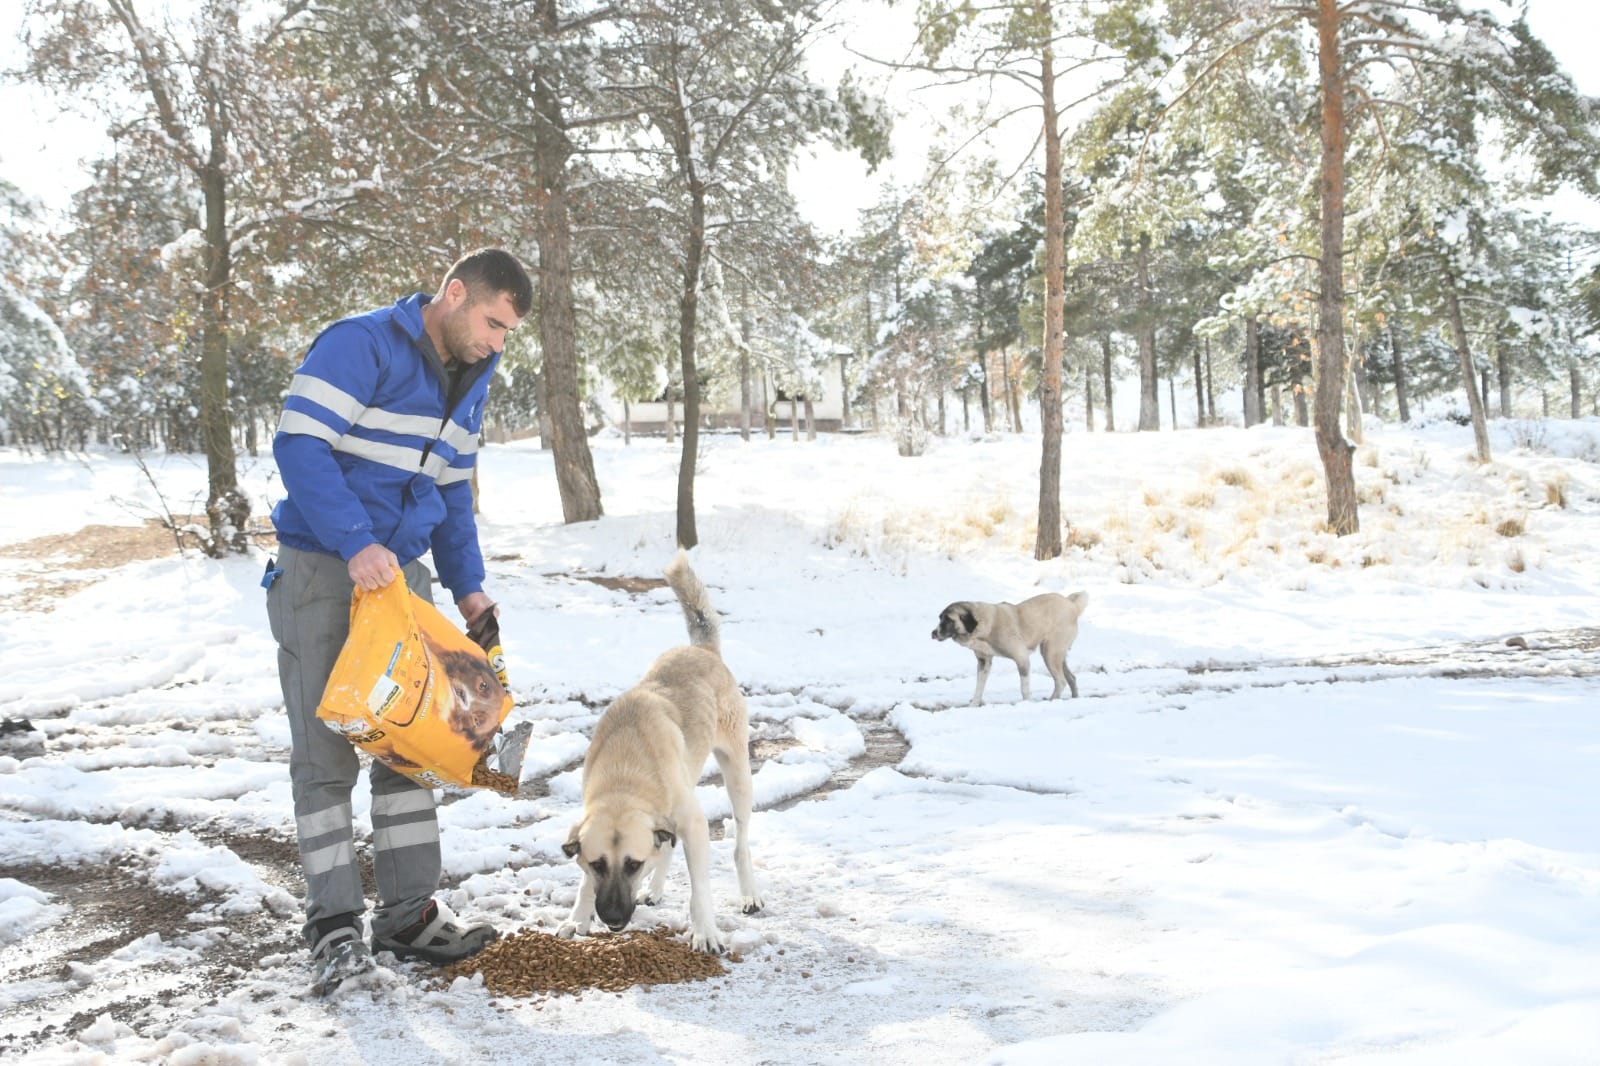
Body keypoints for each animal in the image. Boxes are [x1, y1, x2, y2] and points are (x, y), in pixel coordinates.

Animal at [560, 550, 764, 947]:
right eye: (597, 864)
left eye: (633, 864)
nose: (612, 918)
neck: (625, 773)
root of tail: (703, 651)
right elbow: (585, 882)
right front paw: (577, 917)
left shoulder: (695, 826)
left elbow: (700, 889)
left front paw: (705, 932)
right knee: (668, 845)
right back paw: (654, 890)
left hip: (737, 774)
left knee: (740, 842)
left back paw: (749, 893)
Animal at [934, 589, 1088, 704]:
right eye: (940, 618)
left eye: (948, 620)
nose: (933, 633)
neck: (986, 625)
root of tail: (1072, 605)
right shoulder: (984, 663)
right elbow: (979, 688)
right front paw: (974, 705)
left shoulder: (1022, 658)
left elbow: (1024, 688)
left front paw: (1026, 704)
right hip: (1056, 655)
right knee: (1071, 678)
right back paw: (1074, 699)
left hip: (1050, 653)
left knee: (1061, 681)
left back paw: (1052, 701)